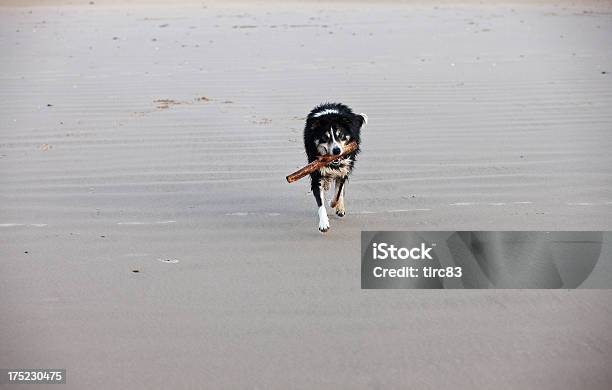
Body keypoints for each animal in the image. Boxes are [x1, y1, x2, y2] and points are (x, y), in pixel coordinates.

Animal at [302, 102, 366, 233]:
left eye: (341, 136)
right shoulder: (316, 173)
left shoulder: (344, 169)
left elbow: (338, 192)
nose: (337, 151)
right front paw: (324, 223)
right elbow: (320, 202)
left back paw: (339, 207)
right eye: (325, 138)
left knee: (341, 187)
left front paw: (334, 204)